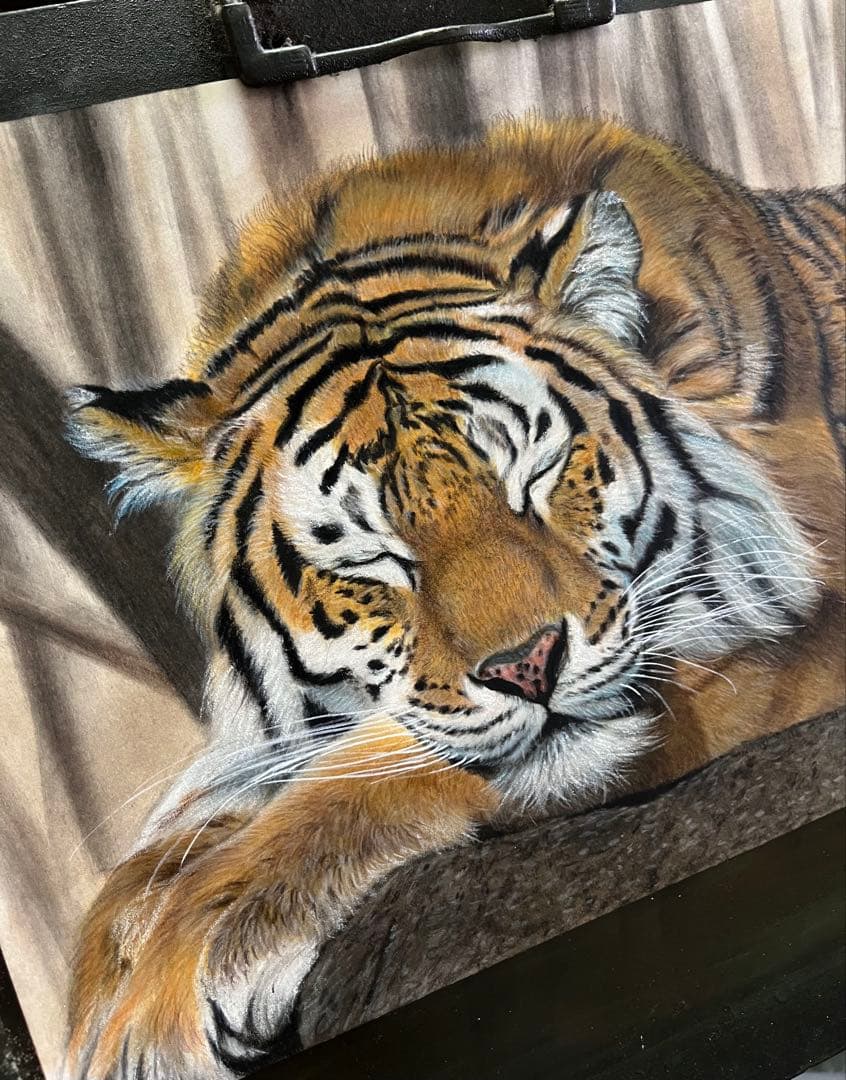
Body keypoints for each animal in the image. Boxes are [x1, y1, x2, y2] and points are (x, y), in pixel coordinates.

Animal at [64, 115, 845, 1079]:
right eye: (376, 555)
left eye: (535, 477)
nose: (529, 666)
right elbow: (157, 851)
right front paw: (108, 983)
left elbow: (370, 772)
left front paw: (164, 995)